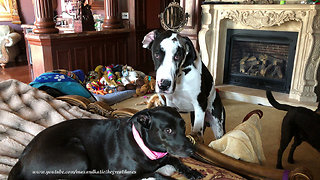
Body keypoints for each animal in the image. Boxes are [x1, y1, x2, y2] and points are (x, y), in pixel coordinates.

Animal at [8, 107, 202, 179]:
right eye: (168, 130)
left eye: (184, 126)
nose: (192, 150)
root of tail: (20, 162)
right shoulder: (124, 176)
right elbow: (157, 174)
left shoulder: (163, 157)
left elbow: (174, 159)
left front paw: (191, 171)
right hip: (78, 155)